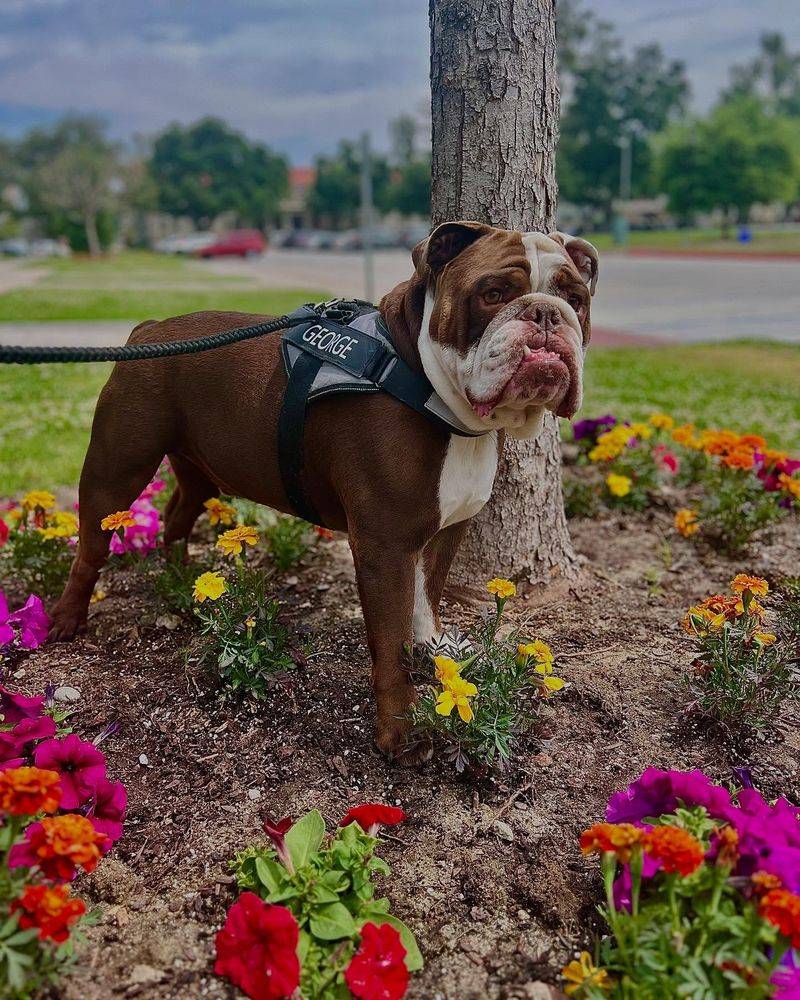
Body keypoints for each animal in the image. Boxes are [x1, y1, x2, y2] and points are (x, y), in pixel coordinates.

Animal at [50, 221, 599, 758]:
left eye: (576, 299)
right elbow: (391, 641)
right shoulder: (384, 546)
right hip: (117, 465)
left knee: (177, 515)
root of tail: (150, 329)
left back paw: (187, 585)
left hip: (199, 470)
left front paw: (435, 649)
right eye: (493, 294)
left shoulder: (445, 530)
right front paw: (400, 733)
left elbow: (427, 597)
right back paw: (66, 619)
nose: (547, 314)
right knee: (91, 545)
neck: (428, 387)